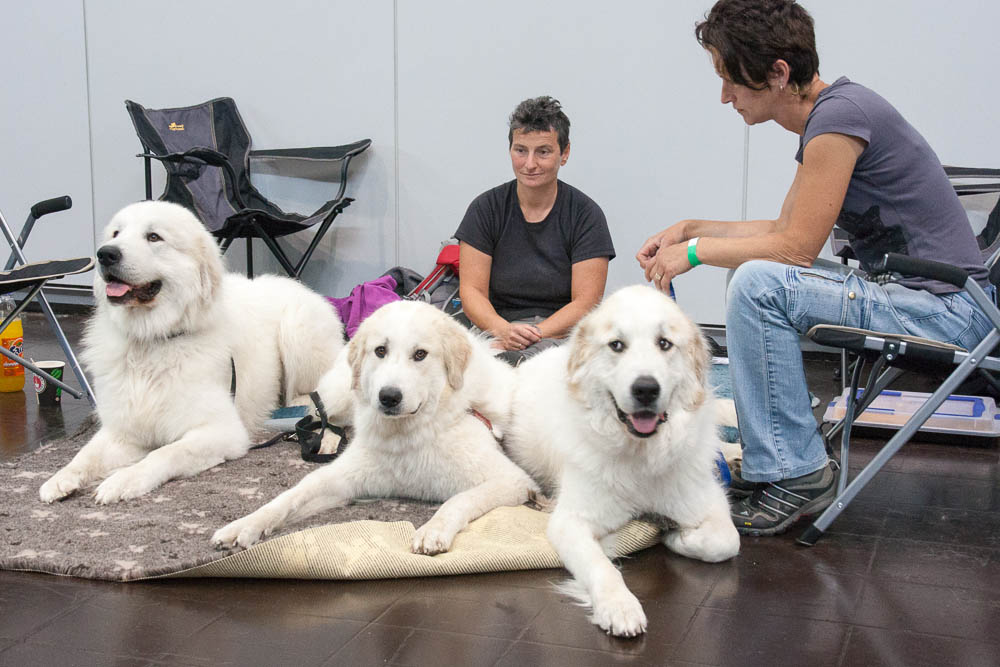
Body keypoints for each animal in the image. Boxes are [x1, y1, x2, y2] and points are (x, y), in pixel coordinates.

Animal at [39, 201, 346, 504]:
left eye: (154, 237)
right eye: (116, 233)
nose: (105, 254)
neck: (153, 340)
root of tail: (299, 286)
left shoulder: (222, 431)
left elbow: (165, 452)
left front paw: (123, 481)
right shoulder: (123, 430)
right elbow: (86, 454)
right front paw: (61, 478)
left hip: (298, 329)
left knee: (317, 399)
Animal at [210, 300, 540, 556]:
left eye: (420, 354)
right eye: (381, 351)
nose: (389, 397)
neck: (409, 433)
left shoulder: (511, 480)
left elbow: (458, 500)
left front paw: (432, 530)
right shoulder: (343, 480)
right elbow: (290, 495)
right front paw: (244, 525)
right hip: (341, 394)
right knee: (324, 416)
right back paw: (324, 440)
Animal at [504, 284, 740, 640]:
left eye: (664, 343)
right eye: (617, 345)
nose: (645, 389)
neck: (642, 455)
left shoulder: (708, 501)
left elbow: (726, 541)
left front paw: (678, 537)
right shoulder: (571, 522)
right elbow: (602, 568)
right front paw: (620, 607)